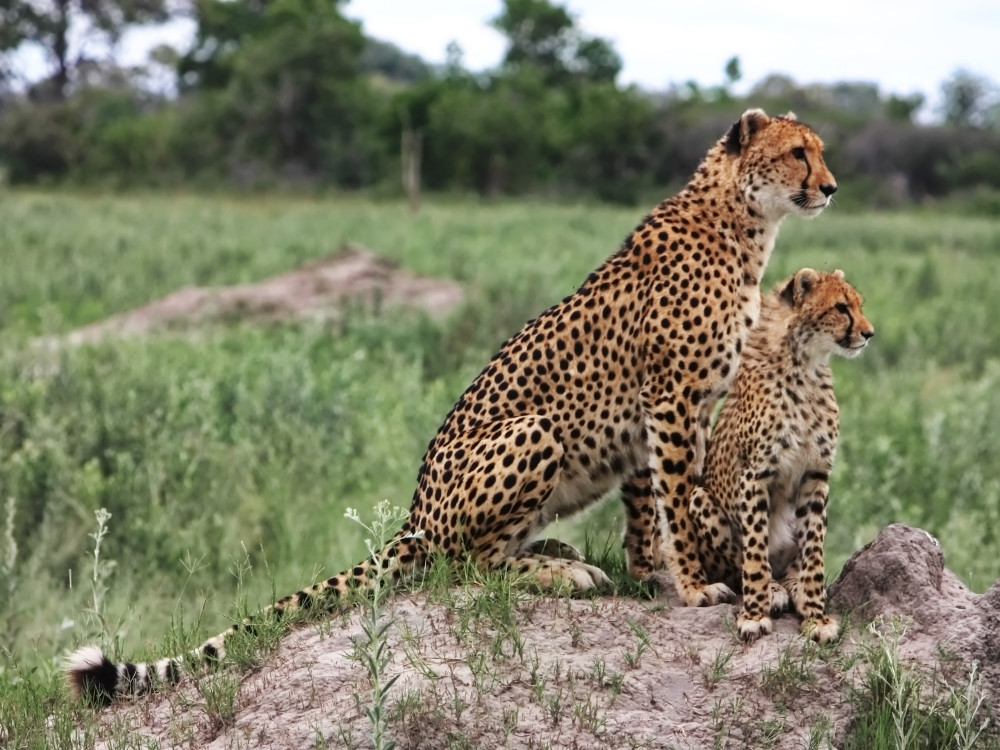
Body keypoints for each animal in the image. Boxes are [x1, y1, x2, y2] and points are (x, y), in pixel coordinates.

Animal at [68, 108, 837, 702]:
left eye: (820, 150)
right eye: (798, 152)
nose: (830, 187)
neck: (740, 221)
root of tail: (413, 516)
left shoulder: (664, 410)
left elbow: (648, 502)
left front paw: (654, 570)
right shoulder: (673, 397)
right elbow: (678, 495)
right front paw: (697, 584)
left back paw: (557, 549)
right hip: (535, 431)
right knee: (465, 567)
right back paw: (558, 569)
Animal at [689, 268, 873, 644]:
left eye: (859, 305)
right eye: (841, 307)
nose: (869, 333)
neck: (805, 363)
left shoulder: (816, 474)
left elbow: (814, 551)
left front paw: (816, 616)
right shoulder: (755, 474)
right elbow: (755, 550)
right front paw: (754, 614)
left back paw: (793, 585)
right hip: (699, 498)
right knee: (737, 564)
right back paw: (772, 590)